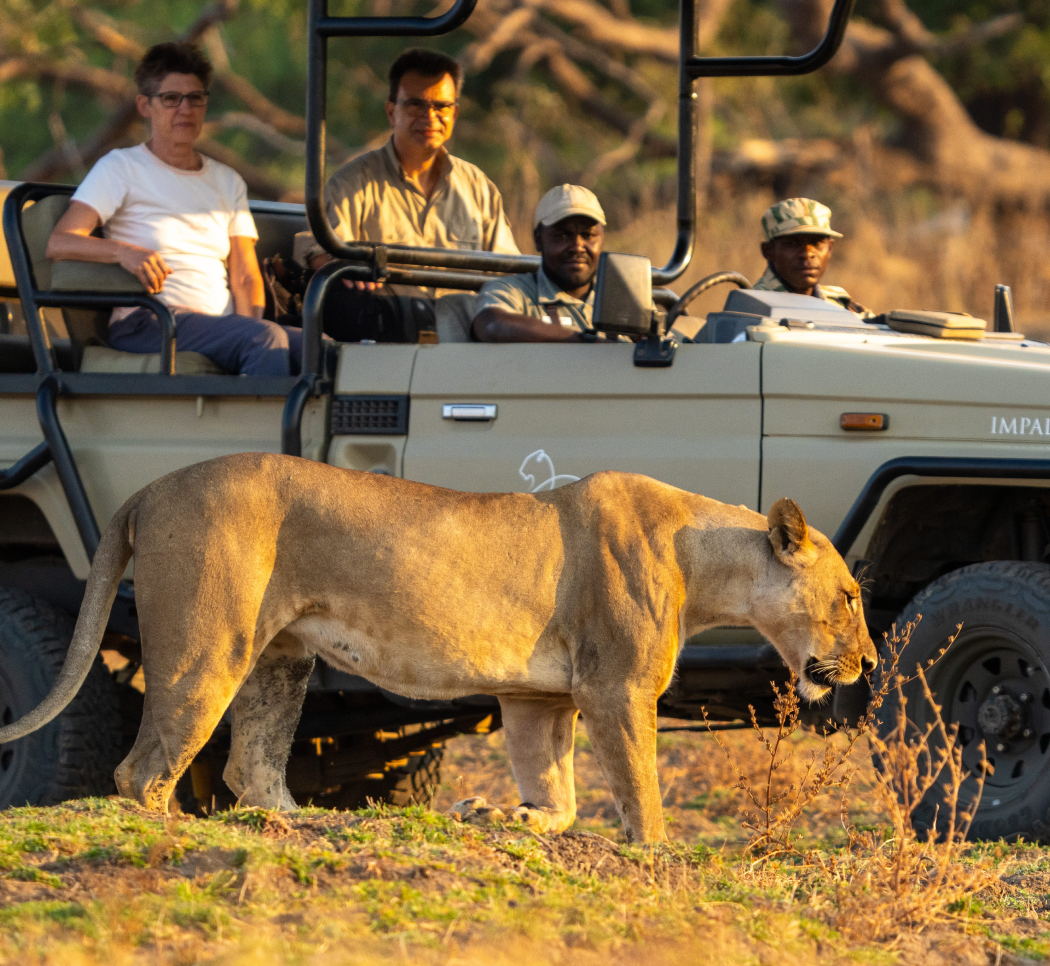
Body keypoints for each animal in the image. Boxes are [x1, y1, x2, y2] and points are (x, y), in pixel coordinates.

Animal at [0, 453, 875, 843]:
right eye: (851, 597)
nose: (869, 661)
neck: (706, 558)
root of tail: (150, 488)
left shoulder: (536, 696)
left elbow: (554, 785)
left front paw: (505, 812)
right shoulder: (615, 687)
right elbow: (639, 787)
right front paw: (655, 852)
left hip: (281, 654)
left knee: (252, 766)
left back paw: (308, 826)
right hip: (208, 645)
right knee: (143, 770)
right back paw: (174, 835)